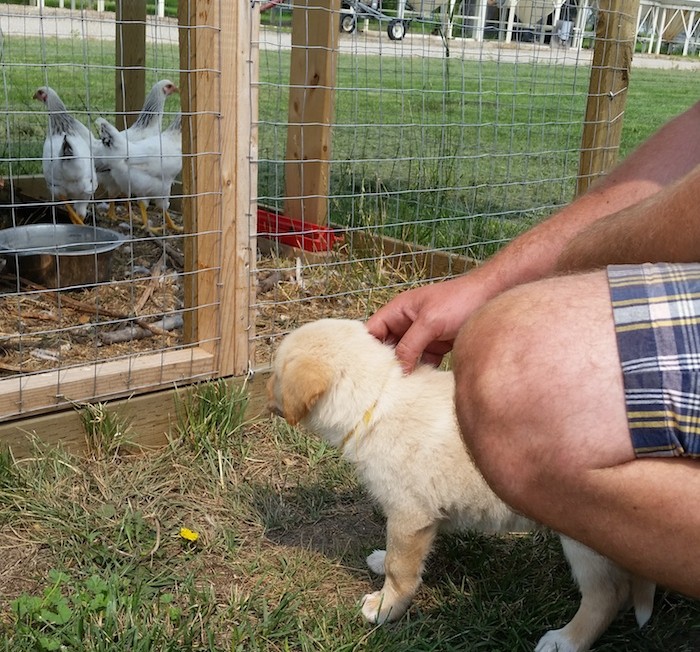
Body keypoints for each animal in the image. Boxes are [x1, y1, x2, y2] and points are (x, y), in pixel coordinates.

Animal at [267, 318, 656, 652]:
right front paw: (380, 559)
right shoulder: (423, 517)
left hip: (583, 541)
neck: (377, 398)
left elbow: (400, 569)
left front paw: (385, 607)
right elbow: (396, 557)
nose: (261, 397)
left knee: (607, 596)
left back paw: (566, 640)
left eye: (275, 374)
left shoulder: (409, 515)